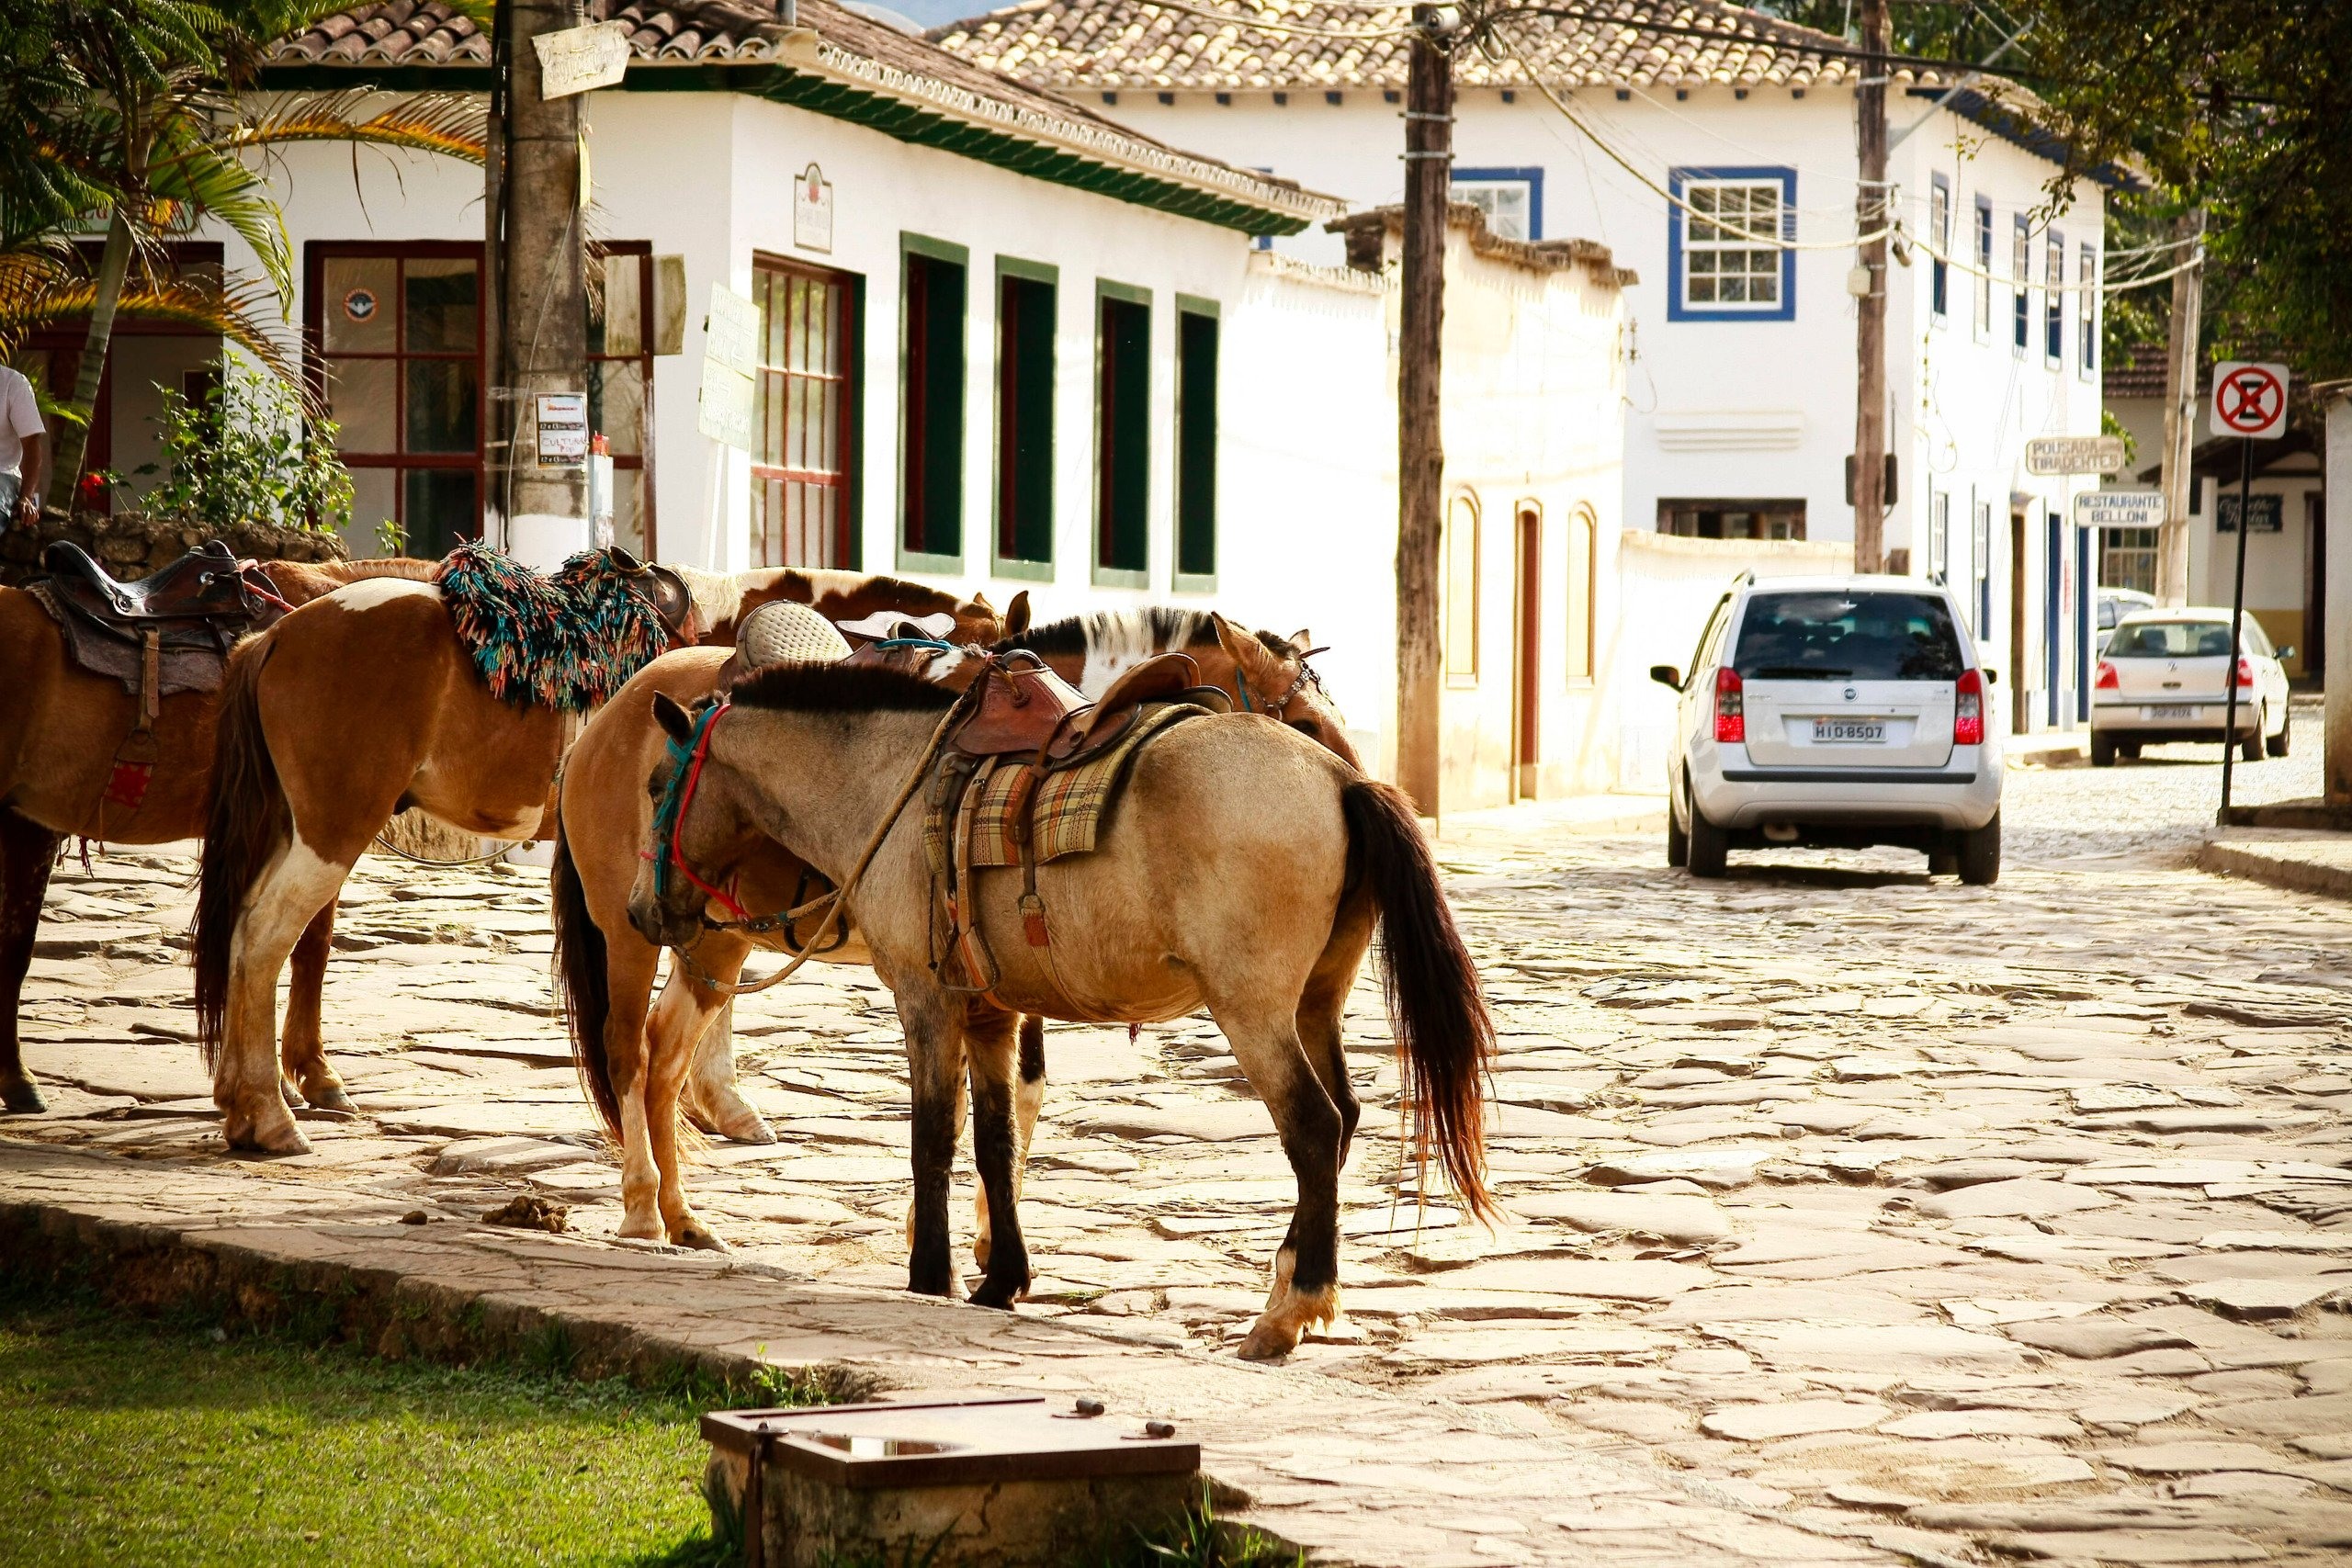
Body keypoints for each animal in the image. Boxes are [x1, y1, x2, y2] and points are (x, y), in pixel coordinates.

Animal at [187, 549, 1015, 1152]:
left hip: (297, 828)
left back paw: (245, 1101)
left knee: (247, 934)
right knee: (267, 935)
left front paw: (717, 1105)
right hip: (331, 831)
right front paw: (713, 1105)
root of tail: (278, 635)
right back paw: (271, 1114)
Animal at [545, 606, 1345, 1259]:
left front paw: (987, 1234)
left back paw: (684, 1215)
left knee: (666, 1052)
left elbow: (1018, 1095)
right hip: (631, 932)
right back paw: (644, 1209)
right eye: (1305, 724)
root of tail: (609, 716)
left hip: (710, 936)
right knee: (627, 1050)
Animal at [616, 662, 1476, 1363]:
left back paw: (1288, 1311)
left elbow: (933, 1136)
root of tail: (1339, 778)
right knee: (1345, 1119)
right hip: (1313, 1003)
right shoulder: (990, 1012)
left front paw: (929, 1274)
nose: (641, 913)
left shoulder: (924, 1000)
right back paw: (1289, 1284)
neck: (891, 784)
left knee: (1314, 1127)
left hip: (1254, 1011)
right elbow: (995, 1142)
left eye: (659, 785)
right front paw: (1002, 1279)